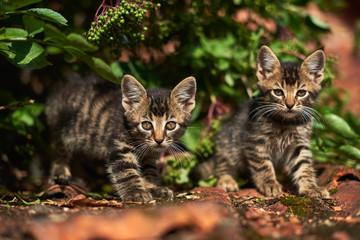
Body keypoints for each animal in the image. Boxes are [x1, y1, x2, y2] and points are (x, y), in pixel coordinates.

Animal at [46, 74, 197, 202]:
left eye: (170, 125)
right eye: (146, 125)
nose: (159, 140)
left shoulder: (149, 154)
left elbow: (149, 169)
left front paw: (152, 188)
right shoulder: (120, 148)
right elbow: (127, 172)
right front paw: (135, 192)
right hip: (66, 130)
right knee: (60, 150)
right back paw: (61, 173)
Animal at [202, 46, 330, 198]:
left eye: (301, 93)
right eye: (278, 92)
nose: (290, 105)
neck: (285, 122)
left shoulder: (299, 143)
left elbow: (304, 165)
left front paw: (311, 187)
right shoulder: (254, 141)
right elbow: (262, 164)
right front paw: (269, 183)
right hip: (229, 143)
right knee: (223, 163)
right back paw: (227, 180)